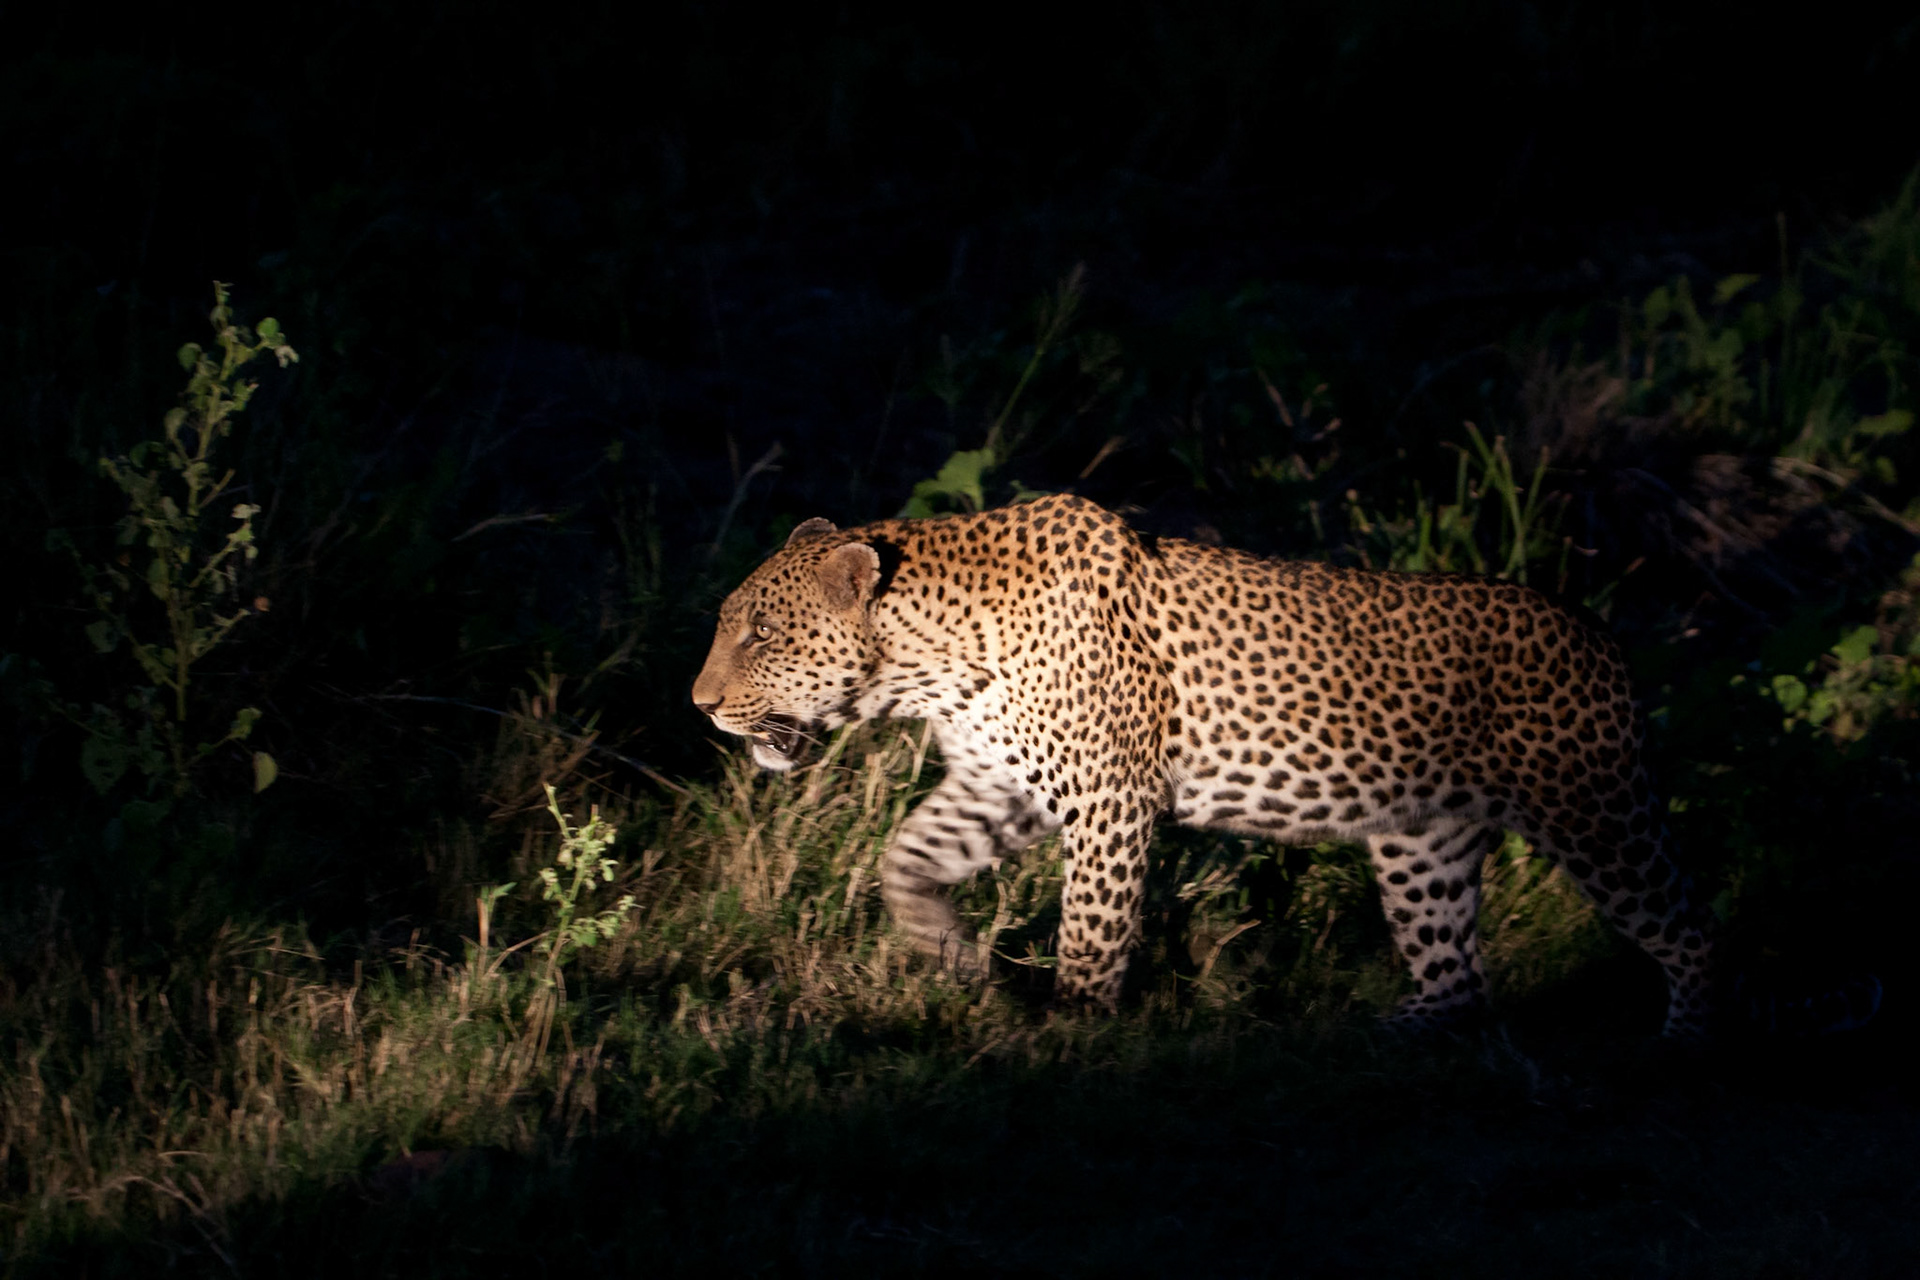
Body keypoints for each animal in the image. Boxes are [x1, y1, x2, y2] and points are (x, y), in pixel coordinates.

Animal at [692, 493, 1715, 1034]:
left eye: (760, 634)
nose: (699, 704)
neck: (931, 665)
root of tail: (1600, 635)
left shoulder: (1110, 797)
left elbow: (1093, 928)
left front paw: (1072, 1029)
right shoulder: (1002, 785)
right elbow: (905, 859)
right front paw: (954, 956)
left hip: (1595, 811)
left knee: (1686, 931)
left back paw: (1682, 1049)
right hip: (1422, 841)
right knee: (1458, 979)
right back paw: (1381, 1042)